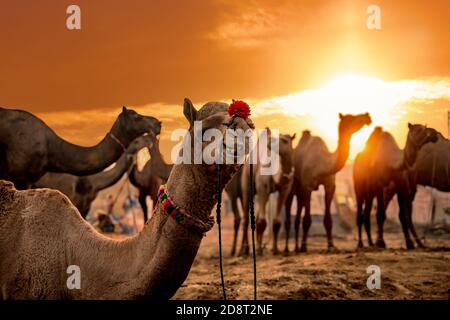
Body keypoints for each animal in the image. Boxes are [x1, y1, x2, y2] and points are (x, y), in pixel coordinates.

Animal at [284, 113, 372, 252]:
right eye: (351, 118)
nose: (367, 116)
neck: (323, 164)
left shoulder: (330, 186)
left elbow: (328, 220)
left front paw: (331, 245)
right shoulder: (308, 186)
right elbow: (307, 219)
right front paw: (304, 246)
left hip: (300, 190)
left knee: (298, 211)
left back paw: (296, 247)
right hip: (293, 185)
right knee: (289, 207)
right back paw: (288, 248)